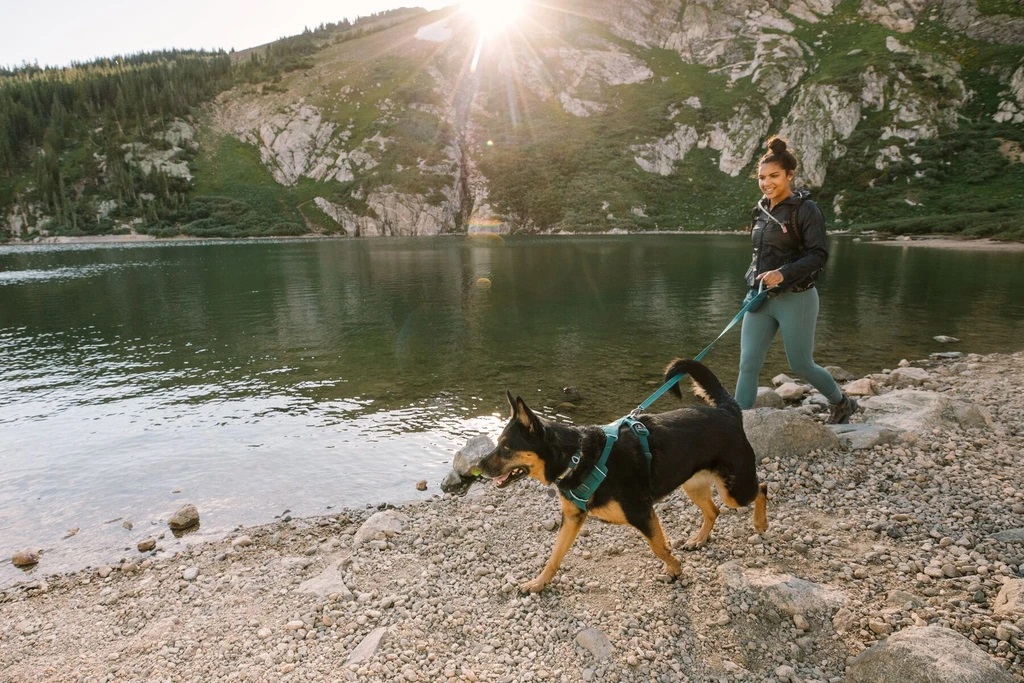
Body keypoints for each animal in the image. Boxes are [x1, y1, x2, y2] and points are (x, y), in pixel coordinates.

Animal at [479, 358, 770, 593]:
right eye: (499, 444)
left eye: (506, 447)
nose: (479, 466)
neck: (577, 457)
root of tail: (727, 410)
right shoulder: (572, 518)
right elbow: (554, 556)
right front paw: (538, 583)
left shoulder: (641, 513)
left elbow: (659, 547)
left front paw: (675, 569)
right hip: (694, 485)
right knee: (714, 510)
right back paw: (699, 539)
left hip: (735, 489)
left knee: (762, 487)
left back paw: (760, 523)